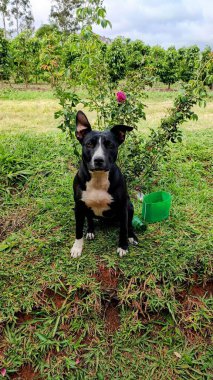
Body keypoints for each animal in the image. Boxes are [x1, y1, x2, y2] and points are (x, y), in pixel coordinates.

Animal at [70, 110, 138, 258]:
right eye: (89, 144)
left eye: (110, 145)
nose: (98, 160)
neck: (98, 178)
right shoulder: (79, 207)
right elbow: (78, 229)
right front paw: (77, 247)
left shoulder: (123, 207)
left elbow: (124, 229)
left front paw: (123, 246)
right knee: (90, 218)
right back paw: (90, 230)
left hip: (130, 206)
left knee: (129, 225)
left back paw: (132, 236)